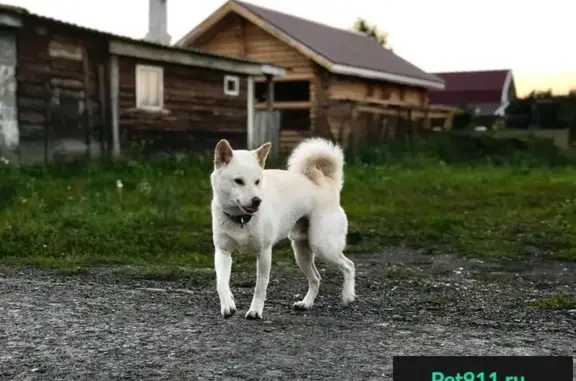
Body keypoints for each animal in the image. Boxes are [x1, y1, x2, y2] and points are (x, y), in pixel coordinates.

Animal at [212, 137, 356, 318]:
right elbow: (221, 283)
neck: (242, 220)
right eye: (238, 181)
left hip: (323, 247)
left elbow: (260, 287)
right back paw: (306, 303)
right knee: (316, 278)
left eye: (257, 181)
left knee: (349, 265)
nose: (257, 201)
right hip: (301, 253)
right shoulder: (223, 252)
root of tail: (326, 182)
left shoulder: (264, 253)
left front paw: (255, 311)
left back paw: (348, 296)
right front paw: (228, 304)